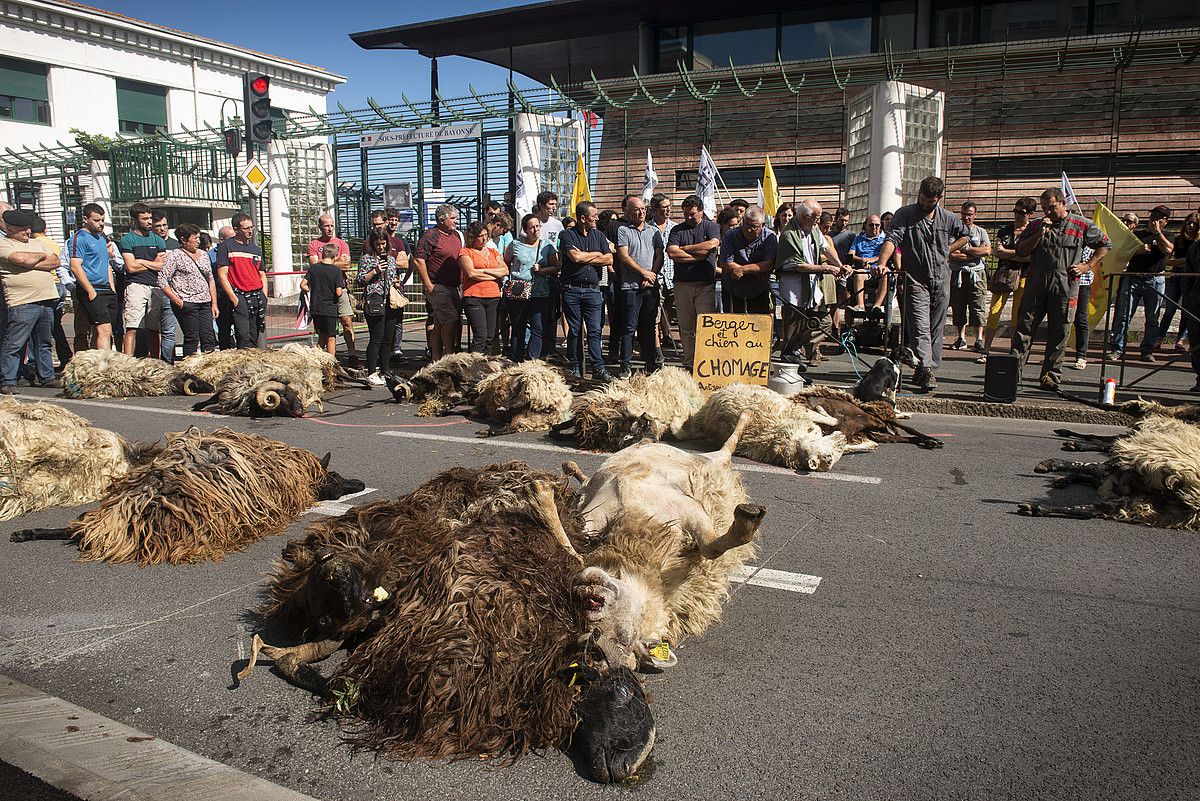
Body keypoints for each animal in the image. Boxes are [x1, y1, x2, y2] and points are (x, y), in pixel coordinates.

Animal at [549, 366, 700, 453]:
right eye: (639, 428)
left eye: (632, 436)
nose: (644, 418)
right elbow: (569, 424)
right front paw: (555, 429)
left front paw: (555, 431)